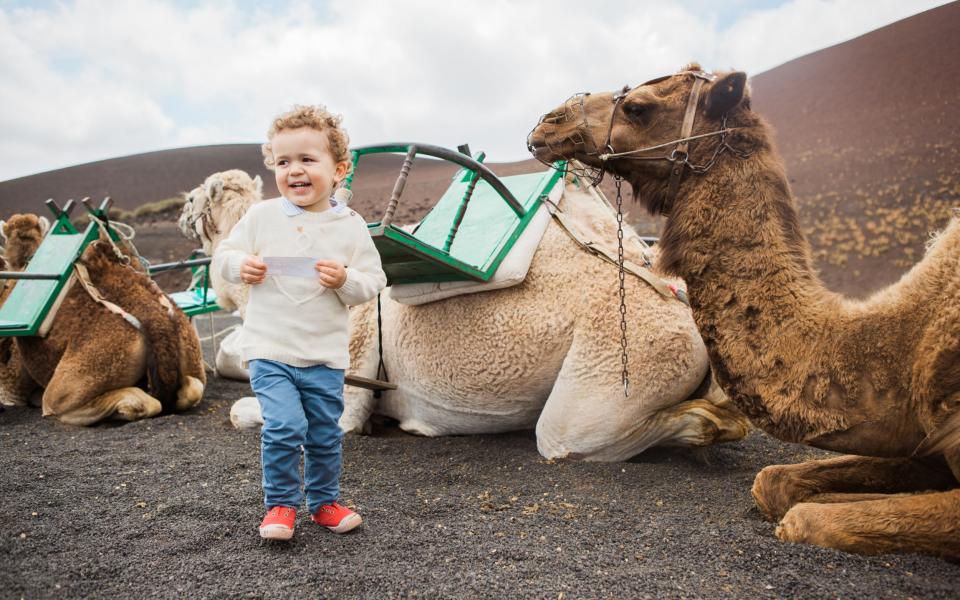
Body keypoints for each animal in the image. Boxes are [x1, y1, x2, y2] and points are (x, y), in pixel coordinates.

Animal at [182, 171, 752, 462]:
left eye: (194, 196)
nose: (184, 217)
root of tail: (685, 310)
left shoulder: (346, 380)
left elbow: (246, 414)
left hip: (621, 361)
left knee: (570, 440)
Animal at [528, 63, 960, 560]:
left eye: (638, 107)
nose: (548, 123)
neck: (905, 349)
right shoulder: (918, 445)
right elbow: (771, 483)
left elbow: (805, 518)